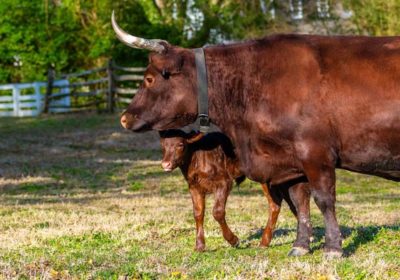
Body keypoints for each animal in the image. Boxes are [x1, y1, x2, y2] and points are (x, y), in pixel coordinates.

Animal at [111, 13, 400, 258]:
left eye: (149, 79)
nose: (124, 118)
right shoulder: (289, 161)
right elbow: (301, 201)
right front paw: (300, 246)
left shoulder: (315, 154)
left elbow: (324, 199)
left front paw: (333, 248)